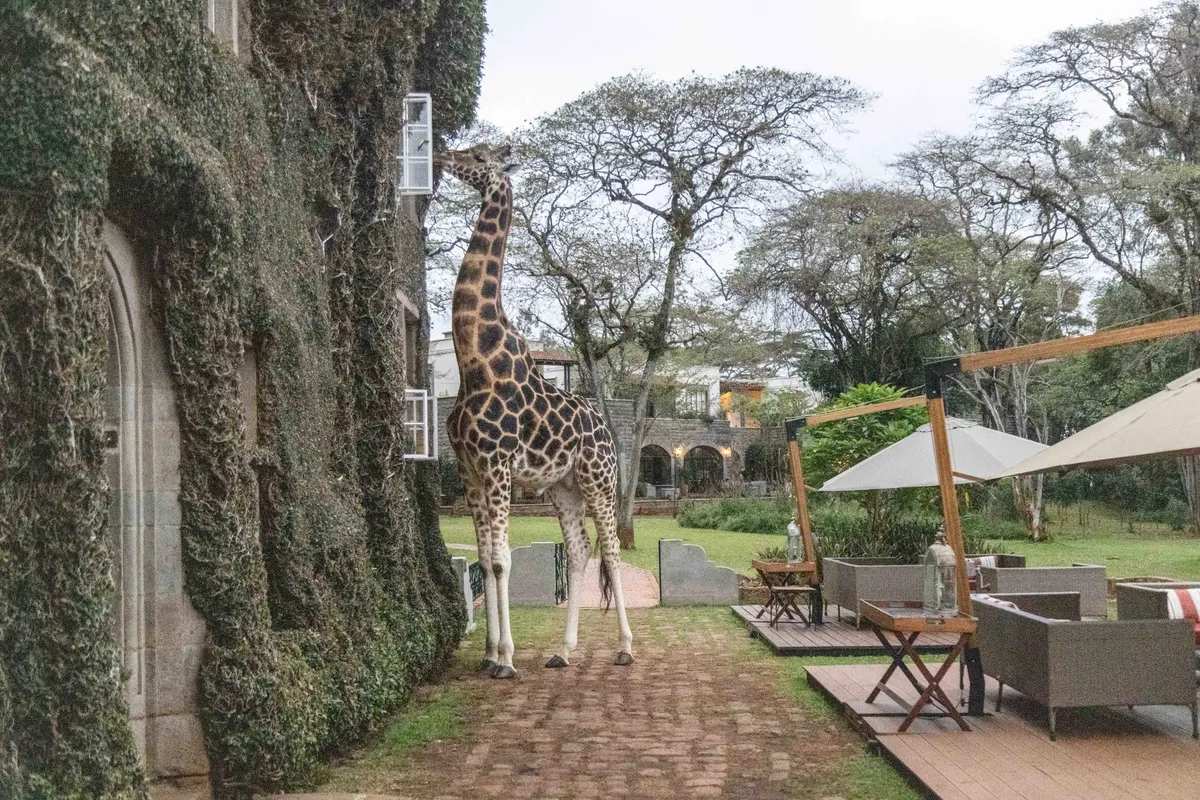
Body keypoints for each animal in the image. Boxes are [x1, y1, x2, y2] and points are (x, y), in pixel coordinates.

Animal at [436, 143, 633, 679]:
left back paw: (626, 647)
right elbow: (485, 557)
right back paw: (563, 651)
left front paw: (504, 659)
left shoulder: (497, 463)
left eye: (479, 156)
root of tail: (606, 431)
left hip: (599, 480)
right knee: (580, 551)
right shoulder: (468, 469)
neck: (476, 360)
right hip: (563, 487)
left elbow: (502, 560)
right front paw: (487, 655)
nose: (440, 155)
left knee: (610, 551)